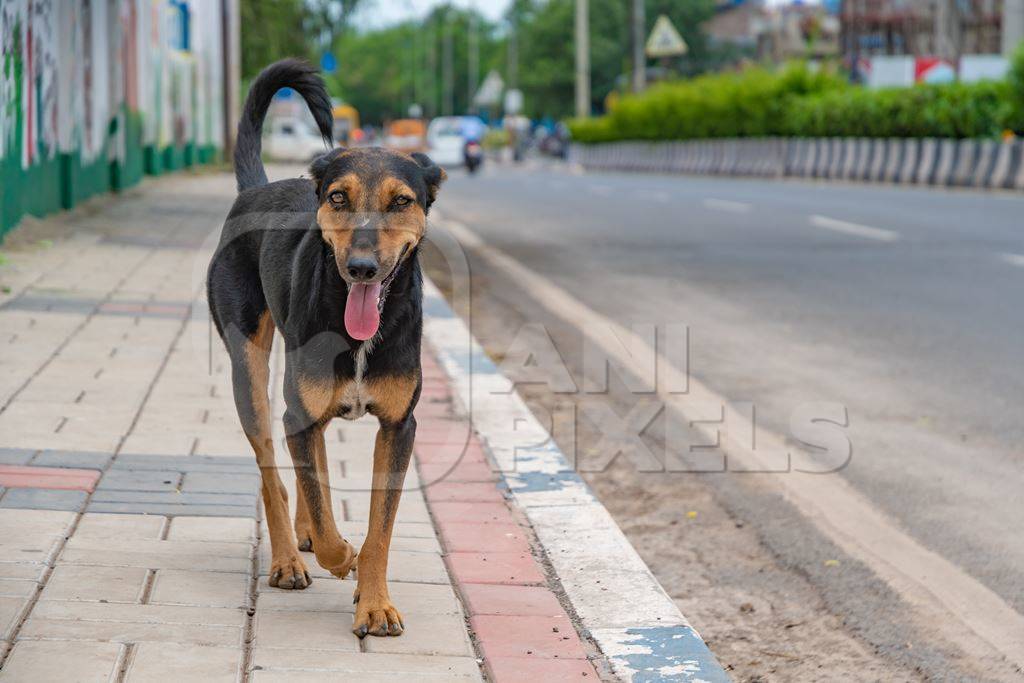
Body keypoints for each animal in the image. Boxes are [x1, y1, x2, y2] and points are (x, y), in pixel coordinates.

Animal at [207, 56, 444, 638]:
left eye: (401, 202)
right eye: (339, 198)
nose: (361, 268)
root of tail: (255, 189)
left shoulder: (399, 427)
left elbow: (379, 528)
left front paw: (375, 603)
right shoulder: (298, 411)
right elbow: (325, 508)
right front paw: (343, 560)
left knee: (306, 464)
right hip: (250, 373)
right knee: (274, 470)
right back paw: (290, 559)